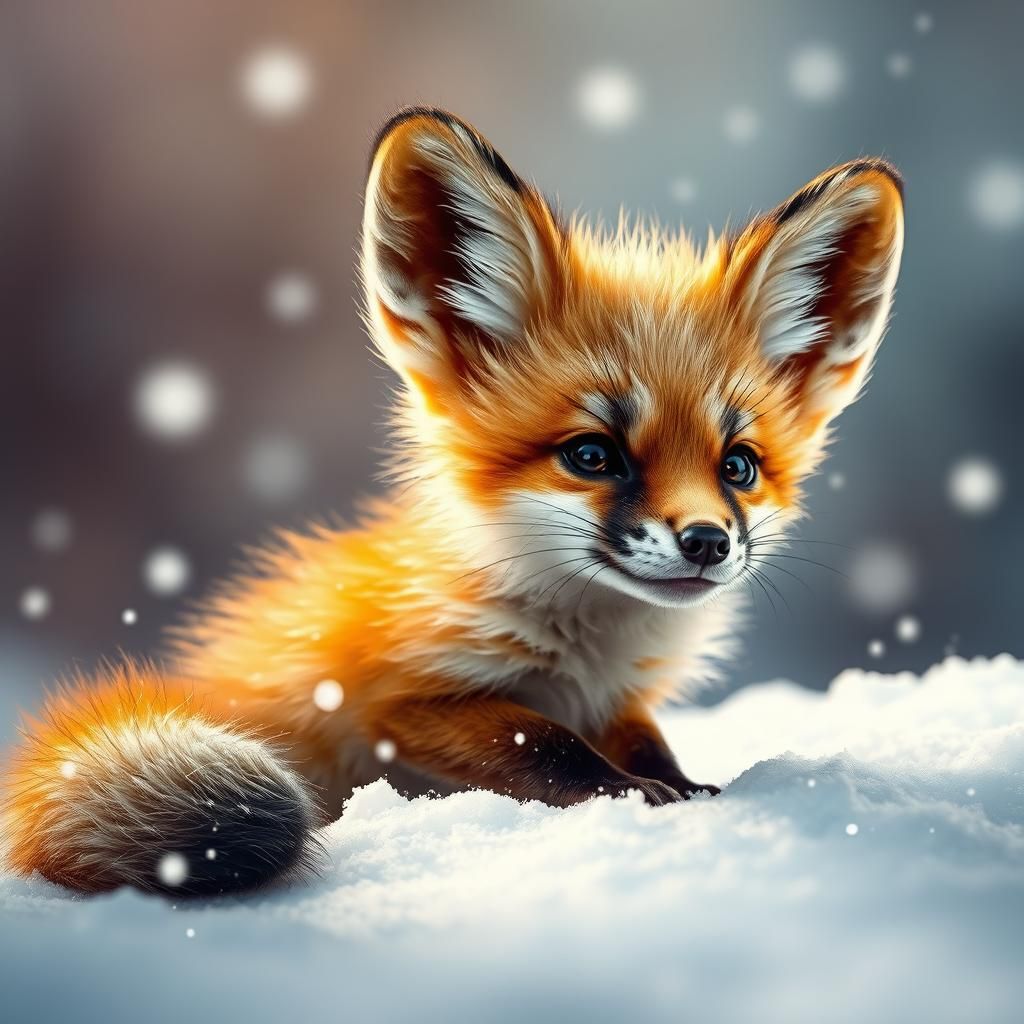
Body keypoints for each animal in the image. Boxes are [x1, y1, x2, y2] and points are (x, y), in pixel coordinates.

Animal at [3, 108, 903, 896]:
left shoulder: (618, 701)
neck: (584, 653)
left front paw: (682, 784)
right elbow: (543, 741)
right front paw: (634, 794)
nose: (710, 542)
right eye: (592, 455)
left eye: (739, 466)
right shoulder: (397, 699)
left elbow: (644, 743)